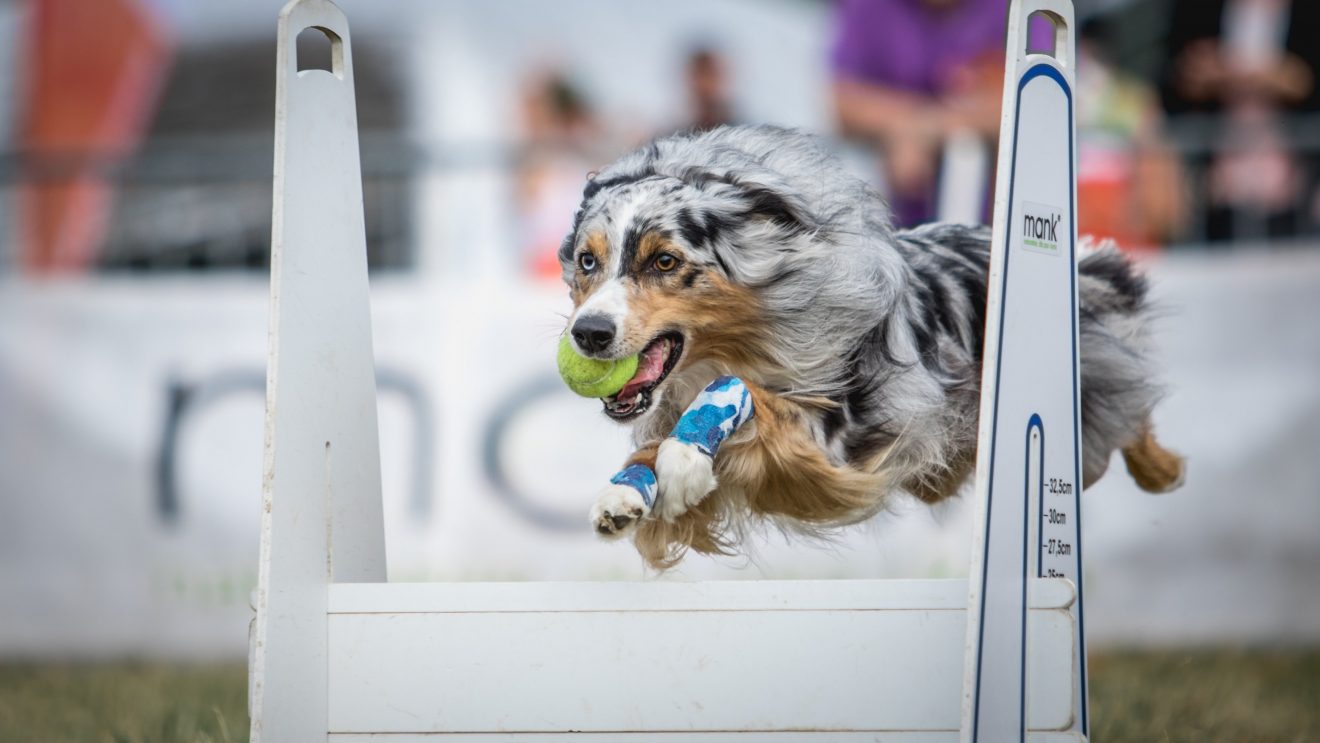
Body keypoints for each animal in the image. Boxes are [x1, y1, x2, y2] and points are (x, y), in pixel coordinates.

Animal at [557, 126, 1188, 570]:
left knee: (1122, 407)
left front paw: (684, 461)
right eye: (587, 261)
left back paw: (1165, 471)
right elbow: (662, 448)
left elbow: (745, 398)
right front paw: (624, 494)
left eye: (665, 261)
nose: (588, 334)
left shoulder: (836, 447)